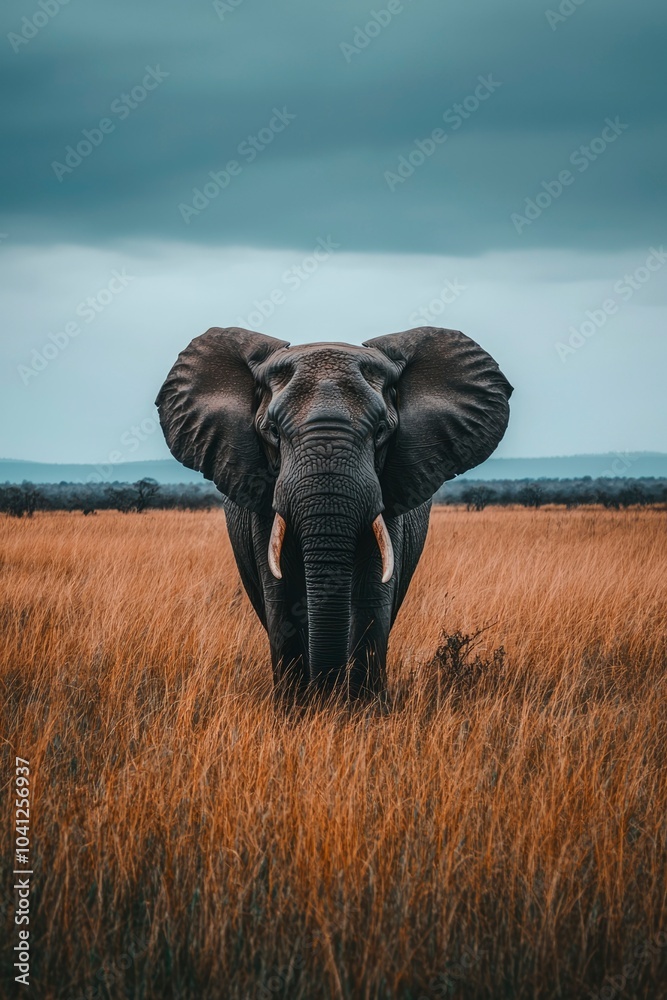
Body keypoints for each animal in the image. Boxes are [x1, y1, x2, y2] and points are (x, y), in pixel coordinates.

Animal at [156, 325, 512, 701]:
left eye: (381, 431)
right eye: (273, 431)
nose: (326, 691)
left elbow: (372, 596)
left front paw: (361, 707)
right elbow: (281, 598)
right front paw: (296, 707)